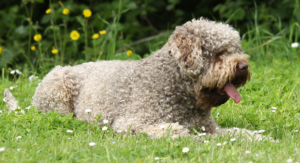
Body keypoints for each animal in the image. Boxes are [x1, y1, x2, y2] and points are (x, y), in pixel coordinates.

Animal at [31, 18, 258, 139]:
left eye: (235, 50)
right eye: (219, 53)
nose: (243, 66)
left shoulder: (211, 128)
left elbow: (238, 133)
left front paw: (258, 137)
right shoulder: (131, 123)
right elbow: (174, 129)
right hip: (58, 91)